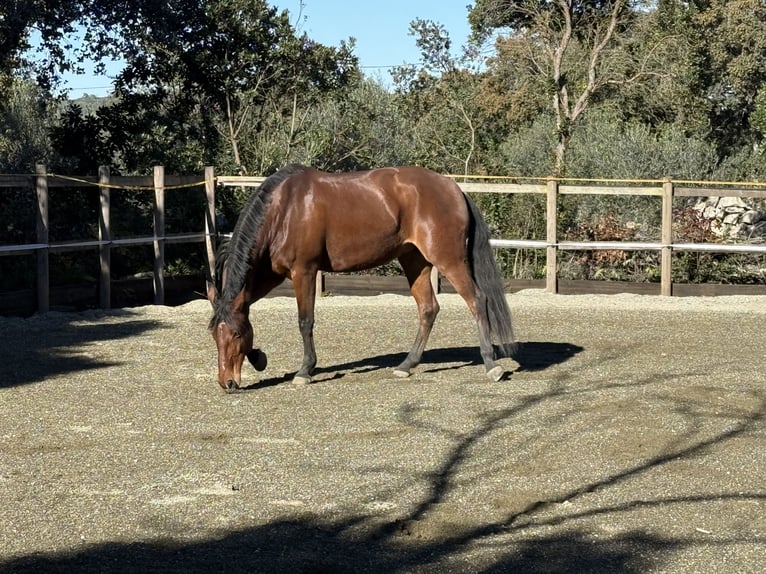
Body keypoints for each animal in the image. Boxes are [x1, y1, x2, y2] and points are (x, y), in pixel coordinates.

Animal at [208, 164, 516, 394]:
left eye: (236, 335)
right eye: (214, 335)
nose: (227, 382)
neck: (283, 210)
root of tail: (454, 189)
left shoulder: (303, 271)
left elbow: (305, 321)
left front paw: (305, 370)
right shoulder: (270, 274)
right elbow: (247, 304)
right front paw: (259, 357)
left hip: (448, 259)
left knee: (477, 300)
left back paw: (491, 364)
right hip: (414, 261)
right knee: (428, 309)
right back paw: (407, 365)